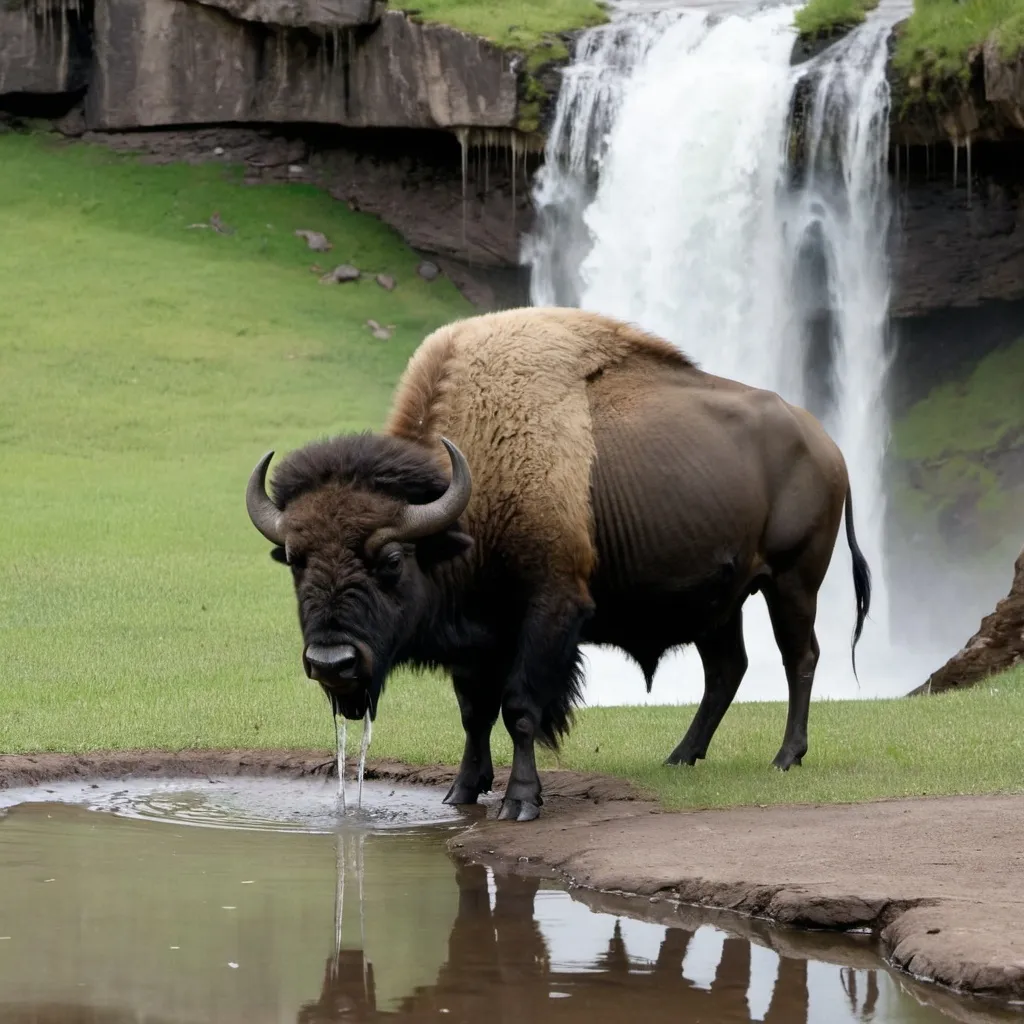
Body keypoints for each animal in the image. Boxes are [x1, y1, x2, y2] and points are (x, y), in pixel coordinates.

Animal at [243, 305, 868, 823]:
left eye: (392, 557)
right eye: (294, 560)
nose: (332, 662)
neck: (473, 496)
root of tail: (828, 444)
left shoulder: (549, 611)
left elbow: (521, 708)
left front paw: (520, 802)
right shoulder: (476, 640)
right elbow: (473, 713)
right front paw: (461, 792)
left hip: (792, 582)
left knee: (799, 657)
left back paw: (785, 758)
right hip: (720, 602)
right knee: (726, 670)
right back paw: (680, 757)